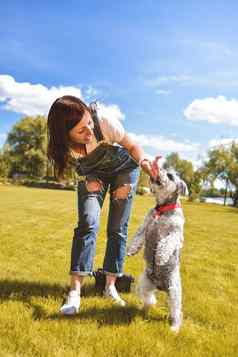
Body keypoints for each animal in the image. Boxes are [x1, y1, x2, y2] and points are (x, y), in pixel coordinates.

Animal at [127, 157, 187, 332]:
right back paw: (145, 308)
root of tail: (161, 286)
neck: (162, 209)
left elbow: (166, 242)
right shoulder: (146, 225)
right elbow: (138, 236)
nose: (157, 170)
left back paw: (174, 328)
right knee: (149, 298)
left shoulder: (175, 233)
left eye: (171, 176)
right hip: (145, 283)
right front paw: (132, 249)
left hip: (174, 292)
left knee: (176, 312)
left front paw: (160, 256)